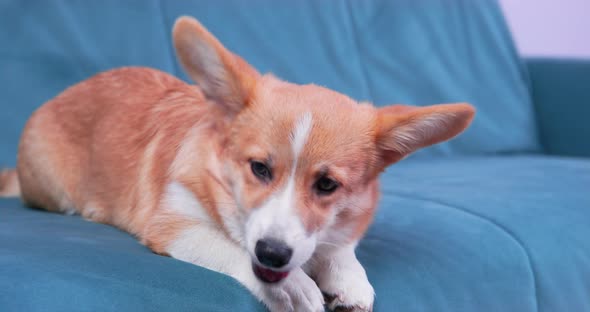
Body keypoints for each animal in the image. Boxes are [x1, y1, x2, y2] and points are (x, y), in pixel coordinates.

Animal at [0, 16, 474, 312]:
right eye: (259, 168)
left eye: (327, 185)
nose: (273, 253)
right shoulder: (175, 224)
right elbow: (228, 248)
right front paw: (298, 286)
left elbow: (340, 249)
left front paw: (350, 279)